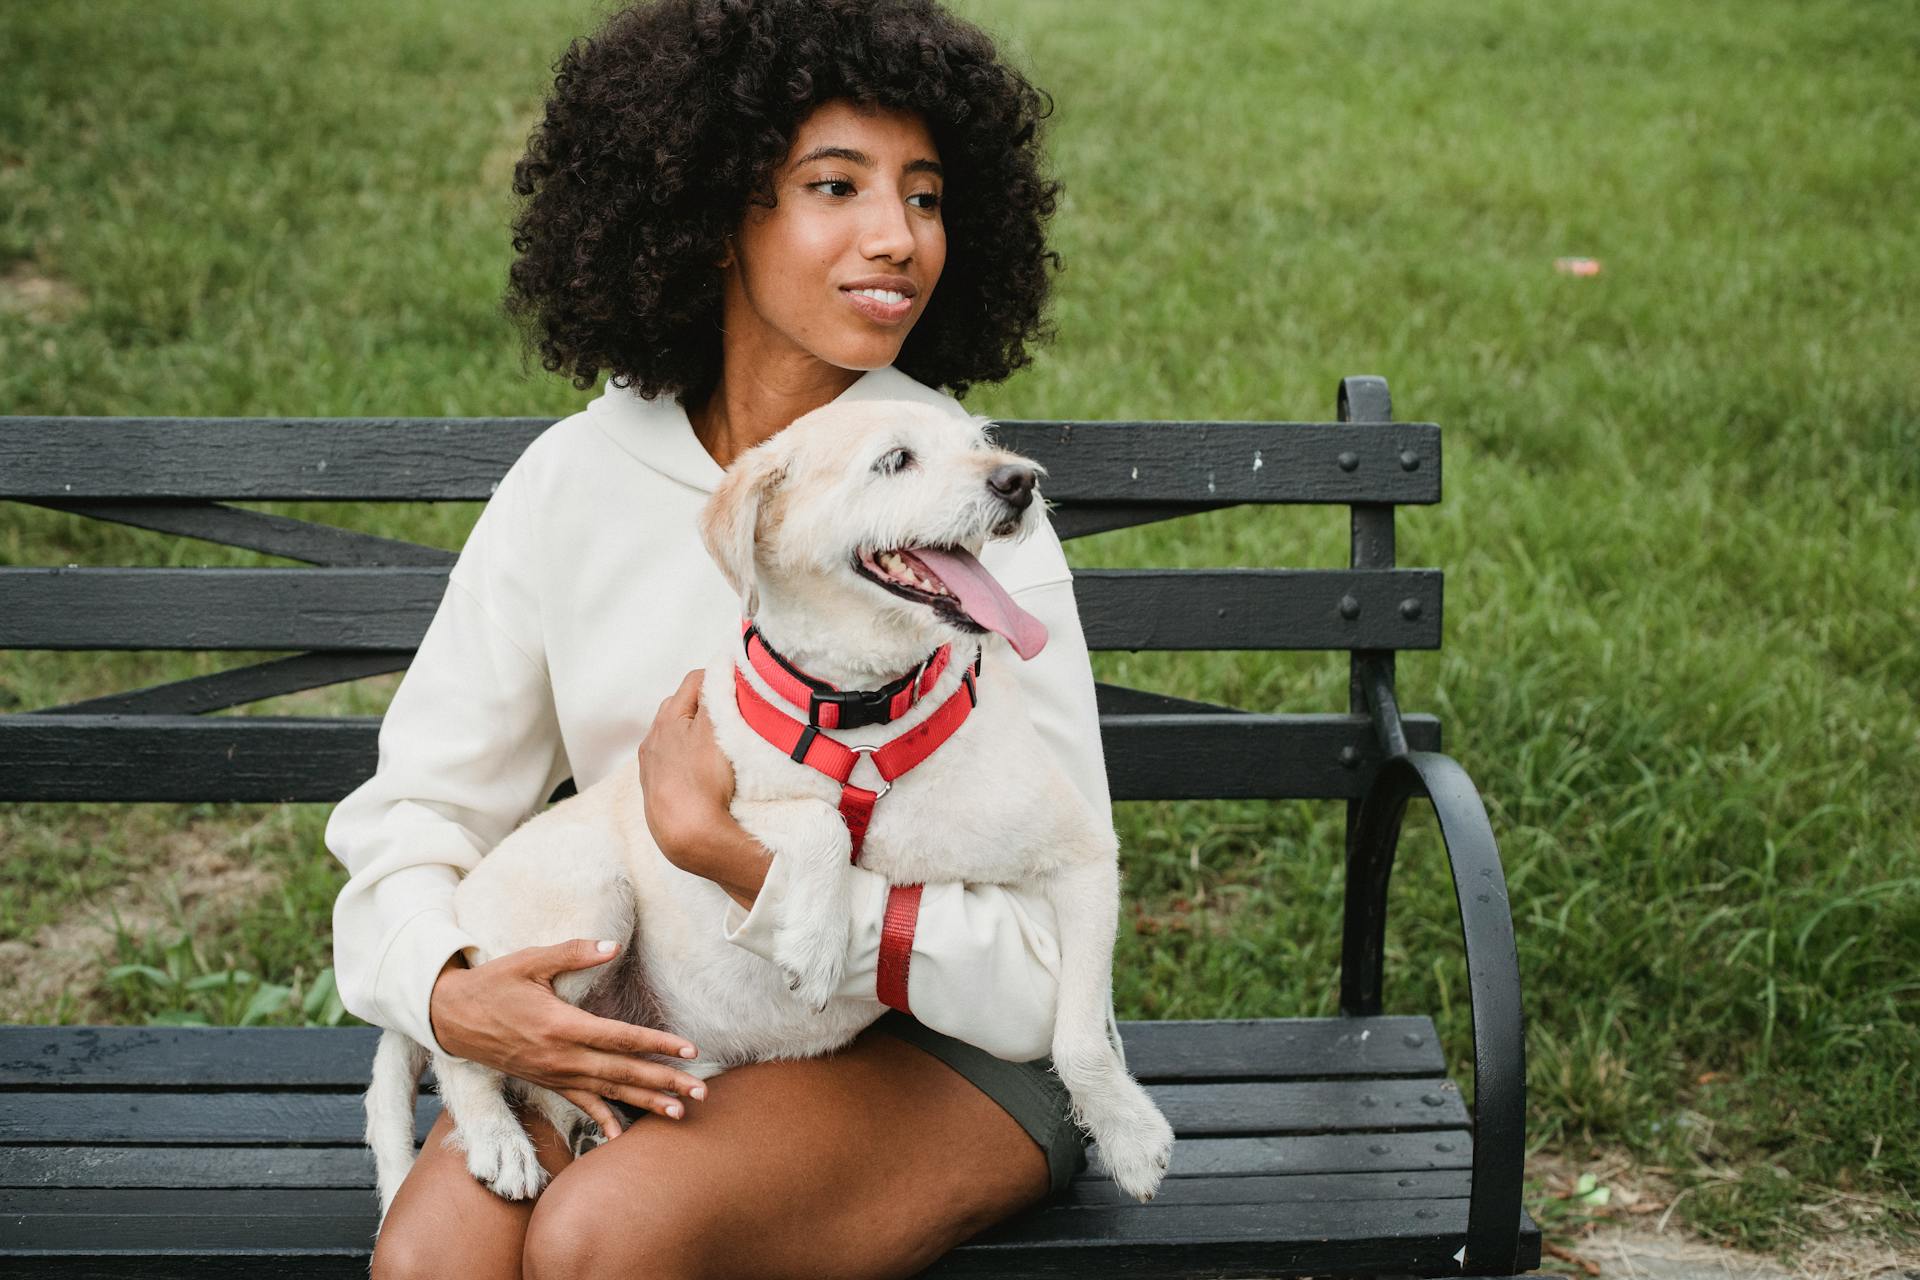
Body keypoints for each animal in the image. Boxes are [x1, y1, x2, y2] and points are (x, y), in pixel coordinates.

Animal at [360, 401, 1167, 1212]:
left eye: (980, 443)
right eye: (895, 460)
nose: (1020, 481)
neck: (865, 719)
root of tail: (458, 904)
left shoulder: (1083, 859)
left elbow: (1079, 1033)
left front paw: (1127, 1137)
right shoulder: (687, 799)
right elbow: (818, 821)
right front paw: (815, 940)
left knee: (542, 1064)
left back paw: (591, 1114)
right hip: (590, 899)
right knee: (465, 1045)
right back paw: (497, 1138)